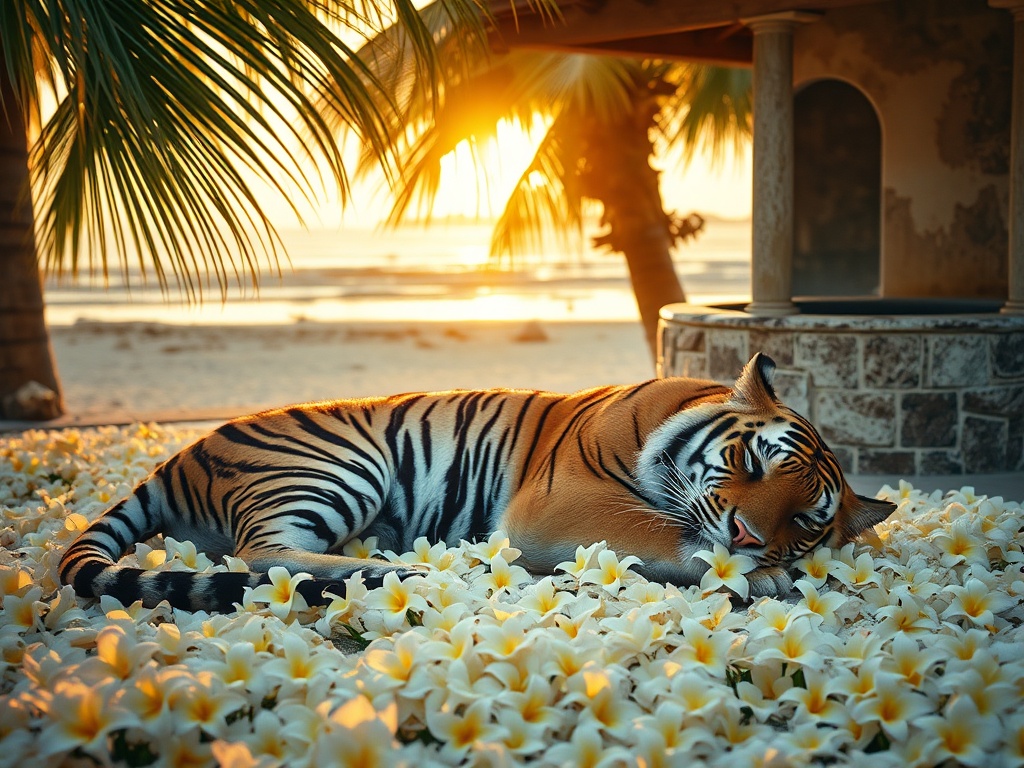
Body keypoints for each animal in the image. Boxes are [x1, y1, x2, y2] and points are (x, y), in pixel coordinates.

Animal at [59, 352, 895, 612]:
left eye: (807, 518)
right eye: (752, 466)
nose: (752, 534)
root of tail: (179, 454)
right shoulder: (561, 505)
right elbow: (662, 529)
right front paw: (756, 574)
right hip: (338, 464)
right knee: (260, 553)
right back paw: (396, 570)